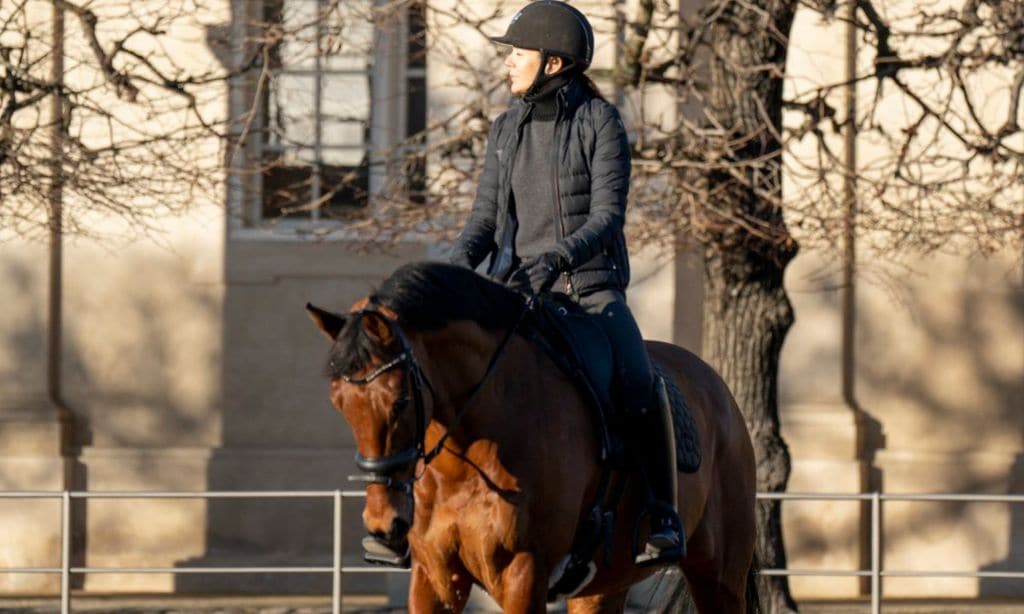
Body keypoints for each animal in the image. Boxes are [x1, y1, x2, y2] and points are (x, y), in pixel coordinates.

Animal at [307, 260, 757, 609]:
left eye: (400, 400)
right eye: (338, 403)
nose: (383, 522)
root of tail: (719, 389)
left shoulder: (523, 574)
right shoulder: (436, 577)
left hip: (719, 576)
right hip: (605, 584)